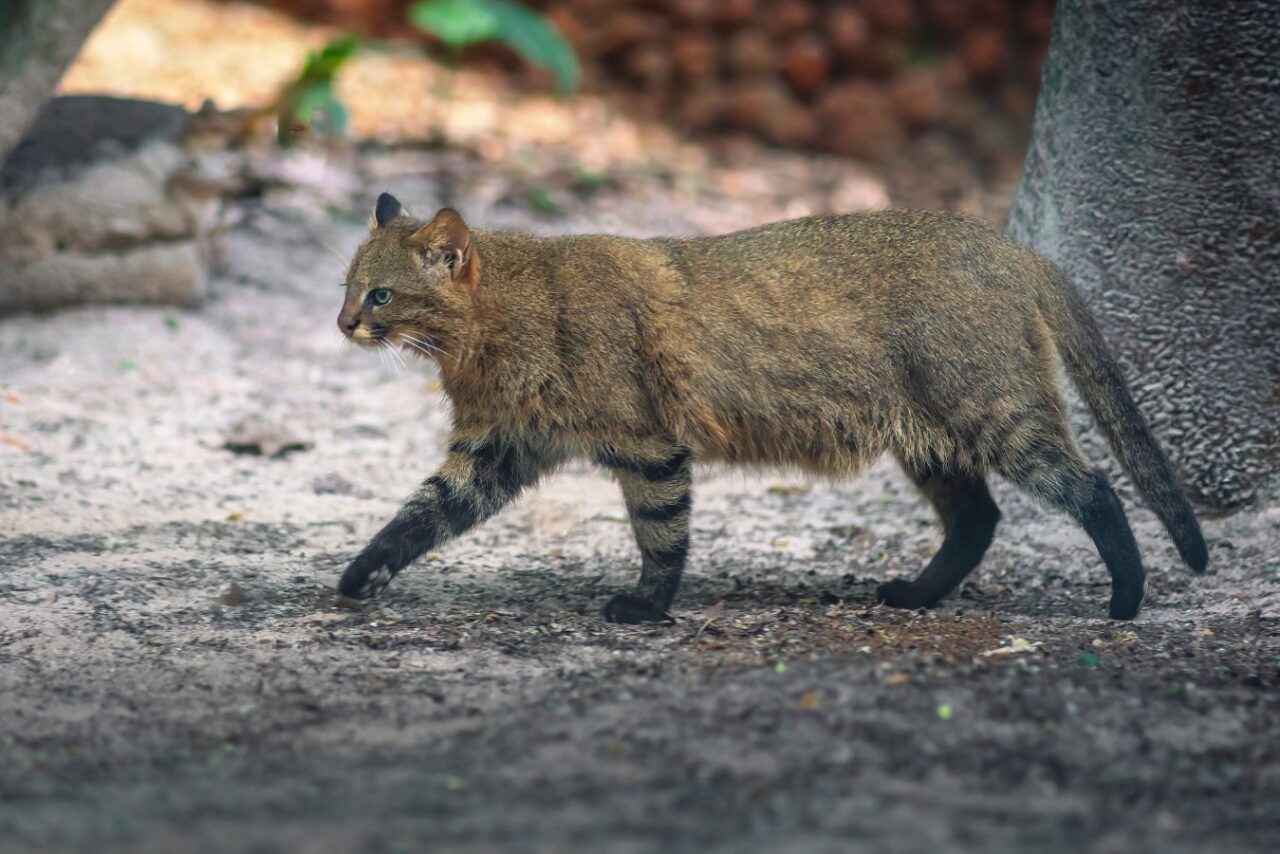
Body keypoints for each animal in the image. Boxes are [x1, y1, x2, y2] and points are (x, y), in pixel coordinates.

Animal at [332, 192, 1208, 622]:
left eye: (380, 295)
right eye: (346, 286)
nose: (342, 323)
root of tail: (1013, 247)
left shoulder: (649, 446)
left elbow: (662, 537)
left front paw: (646, 608)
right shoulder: (495, 451)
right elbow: (414, 518)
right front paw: (359, 575)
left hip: (997, 415)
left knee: (1094, 488)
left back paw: (1126, 600)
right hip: (932, 440)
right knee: (978, 519)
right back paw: (917, 597)